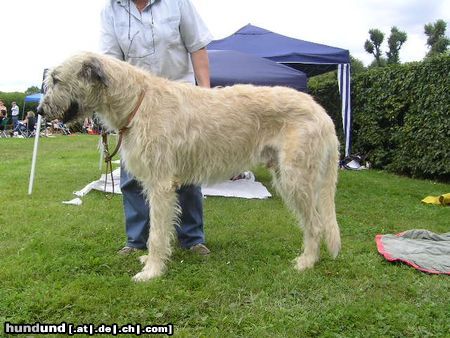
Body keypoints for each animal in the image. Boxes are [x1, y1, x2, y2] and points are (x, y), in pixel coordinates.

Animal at [37, 51, 342, 282]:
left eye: (56, 79)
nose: (40, 111)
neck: (136, 100)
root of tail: (322, 112)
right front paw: (151, 261)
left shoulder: (160, 184)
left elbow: (157, 232)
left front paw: (152, 271)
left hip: (295, 177)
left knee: (315, 223)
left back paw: (307, 262)